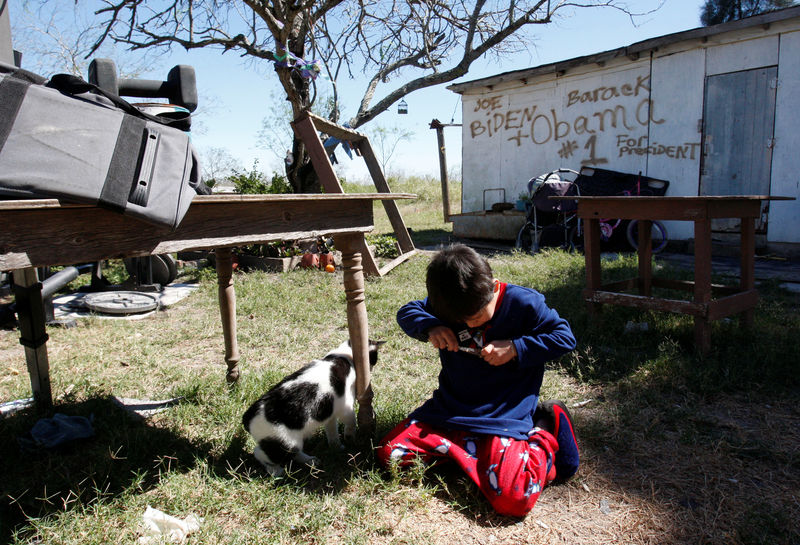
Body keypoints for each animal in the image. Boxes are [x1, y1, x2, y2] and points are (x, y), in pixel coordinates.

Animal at [242, 338, 382, 474]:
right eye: (374, 358)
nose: (371, 368)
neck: (341, 356)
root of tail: (248, 415)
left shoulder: (330, 414)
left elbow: (332, 432)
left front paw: (336, 447)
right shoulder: (345, 406)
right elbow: (351, 421)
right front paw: (350, 437)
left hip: (290, 442)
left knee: (293, 453)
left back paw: (311, 461)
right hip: (284, 443)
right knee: (260, 453)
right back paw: (276, 470)